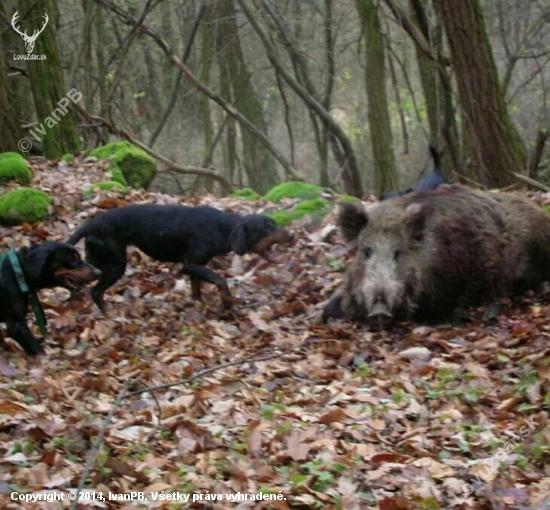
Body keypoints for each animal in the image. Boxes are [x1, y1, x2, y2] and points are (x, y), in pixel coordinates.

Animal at [68, 204, 298, 310]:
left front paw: (198, 303)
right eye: (266, 228)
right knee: (96, 292)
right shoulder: (191, 265)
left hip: (98, 263)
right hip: (115, 265)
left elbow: (197, 289)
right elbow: (221, 280)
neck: (221, 228)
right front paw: (227, 302)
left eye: (274, 223)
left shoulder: (197, 266)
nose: (292, 235)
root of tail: (89, 225)